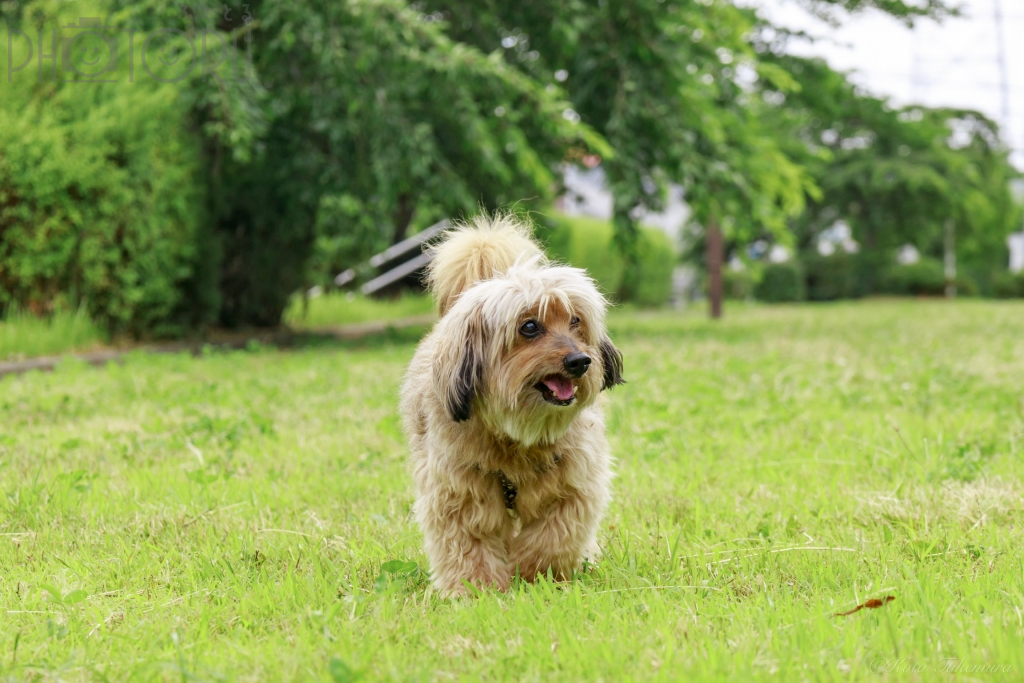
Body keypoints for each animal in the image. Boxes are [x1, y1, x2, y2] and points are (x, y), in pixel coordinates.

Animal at [399, 216, 622, 593]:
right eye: (529, 327)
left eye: (575, 320)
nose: (580, 361)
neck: (517, 435)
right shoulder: (460, 491)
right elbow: (468, 543)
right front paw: (476, 588)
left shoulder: (574, 484)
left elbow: (552, 537)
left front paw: (534, 575)